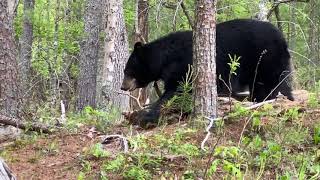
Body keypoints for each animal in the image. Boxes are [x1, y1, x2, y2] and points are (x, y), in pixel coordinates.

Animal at [121, 18, 294, 124]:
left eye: (127, 70)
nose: (123, 86)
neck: (166, 58)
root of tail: (283, 39)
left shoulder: (184, 66)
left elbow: (176, 90)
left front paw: (146, 114)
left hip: (266, 58)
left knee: (274, 82)